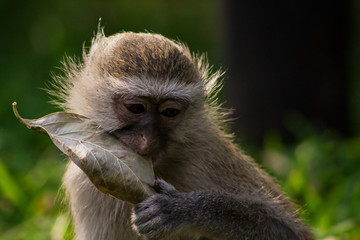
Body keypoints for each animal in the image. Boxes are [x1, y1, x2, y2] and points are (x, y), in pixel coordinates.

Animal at [52, 31, 312, 239]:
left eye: (170, 112)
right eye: (136, 108)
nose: (149, 139)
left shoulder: (206, 153)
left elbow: (288, 231)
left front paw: (184, 210)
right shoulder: (82, 183)